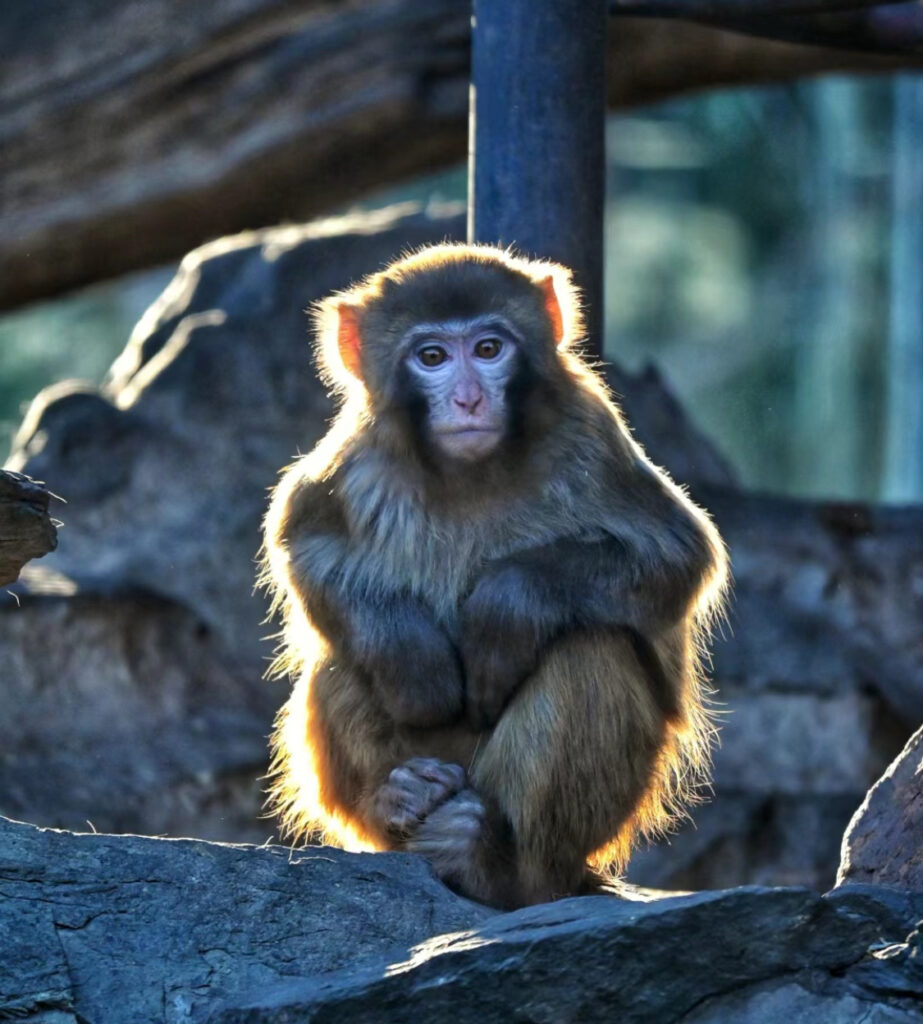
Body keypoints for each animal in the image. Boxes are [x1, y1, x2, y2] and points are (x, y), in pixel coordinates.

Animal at [261, 243, 729, 909]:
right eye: (432, 357)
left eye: (489, 349)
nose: (468, 401)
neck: (473, 472)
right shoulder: (359, 458)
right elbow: (303, 540)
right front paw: (415, 659)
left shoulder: (589, 432)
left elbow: (676, 556)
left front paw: (503, 612)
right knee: (343, 654)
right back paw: (397, 799)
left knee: (592, 648)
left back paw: (495, 863)